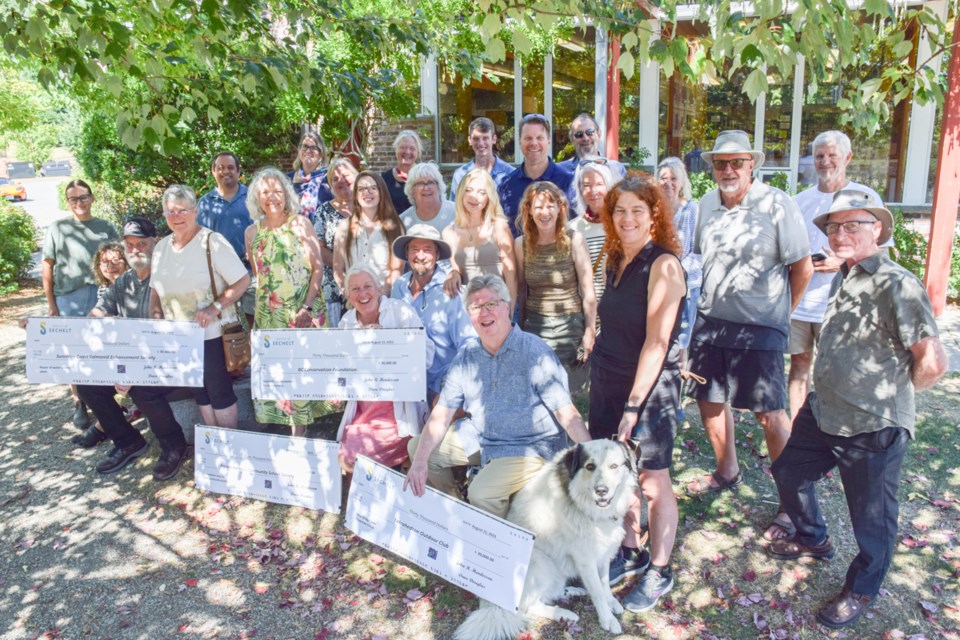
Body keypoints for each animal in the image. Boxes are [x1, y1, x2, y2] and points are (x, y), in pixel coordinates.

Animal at [452, 440, 632, 640]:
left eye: (614, 466)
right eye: (590, 466)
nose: (601, 491)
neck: (579, 501)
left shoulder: (603, 551)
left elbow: (604, 582)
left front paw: (611, 602)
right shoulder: (585, 559)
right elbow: (598, 591)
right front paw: (608, 619)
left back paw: (572, 592)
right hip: (543, 565)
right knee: (527, 607)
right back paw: (564, 613)